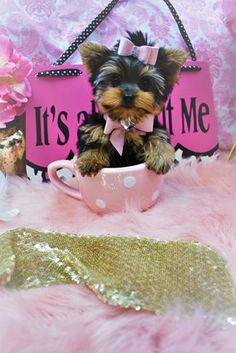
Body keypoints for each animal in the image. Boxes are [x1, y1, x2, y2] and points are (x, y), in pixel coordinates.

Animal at [76, 31, 187, 175]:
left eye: (144, 82)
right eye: (115, 79)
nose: (128, 96)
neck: (126, 123)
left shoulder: (151, 126)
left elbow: (158, 134)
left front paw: (160, 157)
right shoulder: (94, 126)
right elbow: (94, 137)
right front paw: (89, 160)